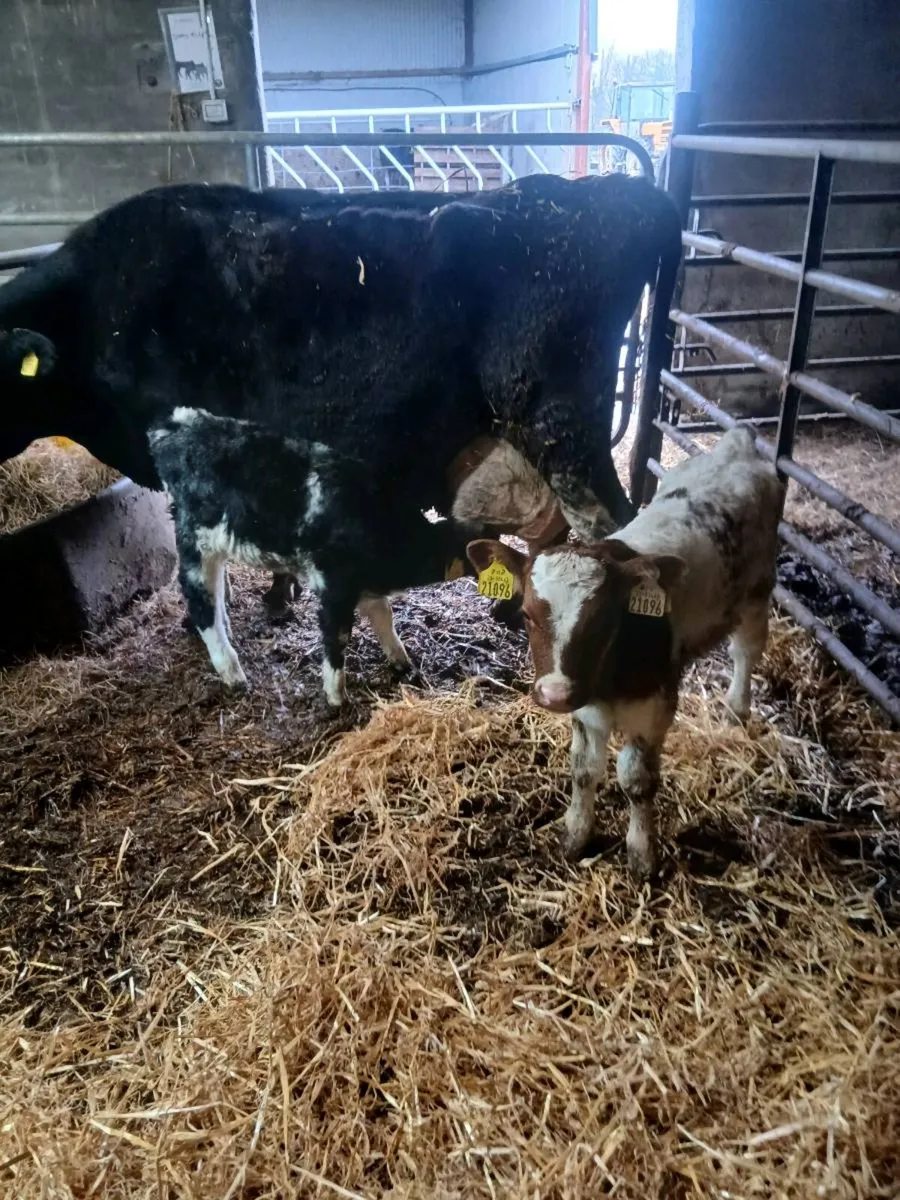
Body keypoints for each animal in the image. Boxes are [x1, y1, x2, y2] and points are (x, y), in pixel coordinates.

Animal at [149, 406, 480, 703]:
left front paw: (401, 660)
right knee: (200, 602)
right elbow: (338, 636)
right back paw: (233, 673)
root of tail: (174, 425)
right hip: (196, 540)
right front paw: (337, 696)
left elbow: (383, 615)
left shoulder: (363, 583)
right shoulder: (335, 583)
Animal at [466, 427, 785, 878]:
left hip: (758, 590)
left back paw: (737, 709)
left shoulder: (653, 711)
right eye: (526, 614)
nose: (555, 694)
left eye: (604, 618)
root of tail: (736, 442)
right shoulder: (584, 707)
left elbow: (636, 781)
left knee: (746, 650)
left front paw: (642, 854)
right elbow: (583, 770)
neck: (608, 677)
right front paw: (575, 834)